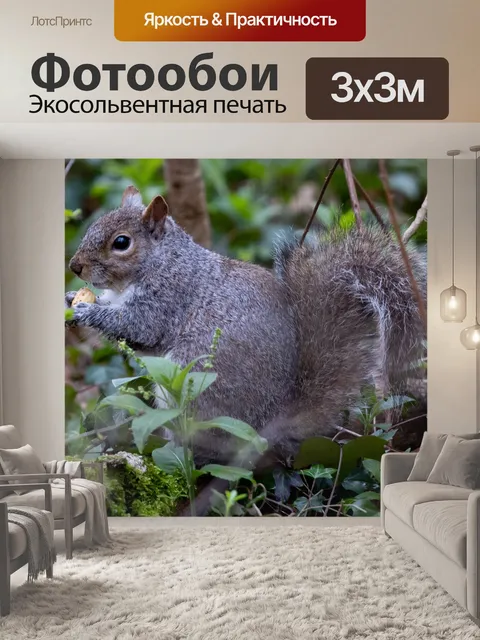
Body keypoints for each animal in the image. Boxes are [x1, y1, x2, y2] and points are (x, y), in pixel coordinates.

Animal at [66, 185, 426, 466]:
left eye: (121, 243)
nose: (74, 266)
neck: (162, 261)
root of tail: (271, 424)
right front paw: (72, 297)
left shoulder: (166, 298)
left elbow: (137, 326)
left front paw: (85, 310)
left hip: (194, 389)